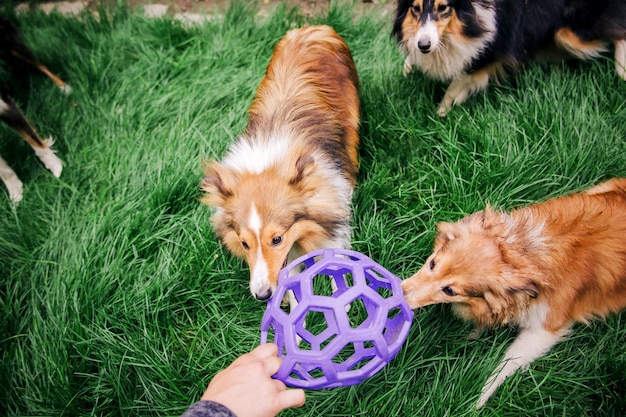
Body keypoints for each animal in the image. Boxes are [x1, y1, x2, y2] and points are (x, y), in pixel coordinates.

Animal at [0, 16, 69, 203]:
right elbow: (2, 170)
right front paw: (16, 193)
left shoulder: (4, 105)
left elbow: (35, 140)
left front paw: (57, 167)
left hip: (9, 43)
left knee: (38, 64)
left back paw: (64, 88)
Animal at [200, 24, 360, 308]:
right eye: (244, 243)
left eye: (277, 239)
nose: (262, 295)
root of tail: (312, 27)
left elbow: (333, 259)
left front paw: (343, 300)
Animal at [392, 0, 624, 115]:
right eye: (415, 8)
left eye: (443, 7)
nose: (423, 46)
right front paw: (409, 64)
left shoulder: (491, 49)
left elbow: (458, 82)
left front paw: (440, 112)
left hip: (572, 34)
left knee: (618, 30)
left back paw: (622, 69)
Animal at [400, 178, 624, 406]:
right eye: (432, 263)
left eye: (450, 291)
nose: (398, 293)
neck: (524, 252)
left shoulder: (543, 331)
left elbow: (503, 366)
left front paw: (475, 401)